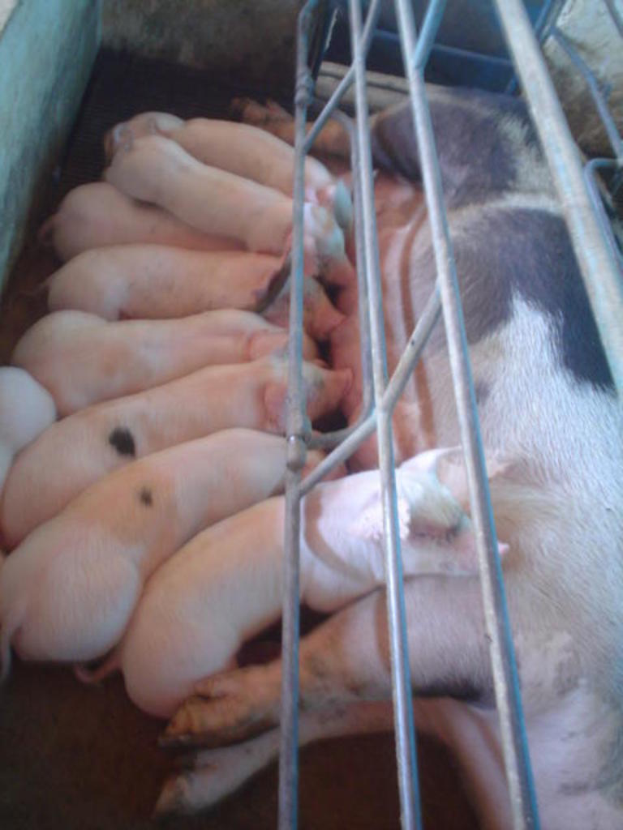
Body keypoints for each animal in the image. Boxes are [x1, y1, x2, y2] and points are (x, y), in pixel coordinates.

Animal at [76, 450, 505, 720]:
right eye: (432, 535)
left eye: (459, 513)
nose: (502, 547)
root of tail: (123, 659)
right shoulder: (327, 588)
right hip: (186, 673)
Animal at [156, 92, 623, 830]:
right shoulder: (515, 608)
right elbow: (329, 670)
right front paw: (195, 730)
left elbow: (331, 702)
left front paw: (185, 772)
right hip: (446, 124)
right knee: (360, 128)